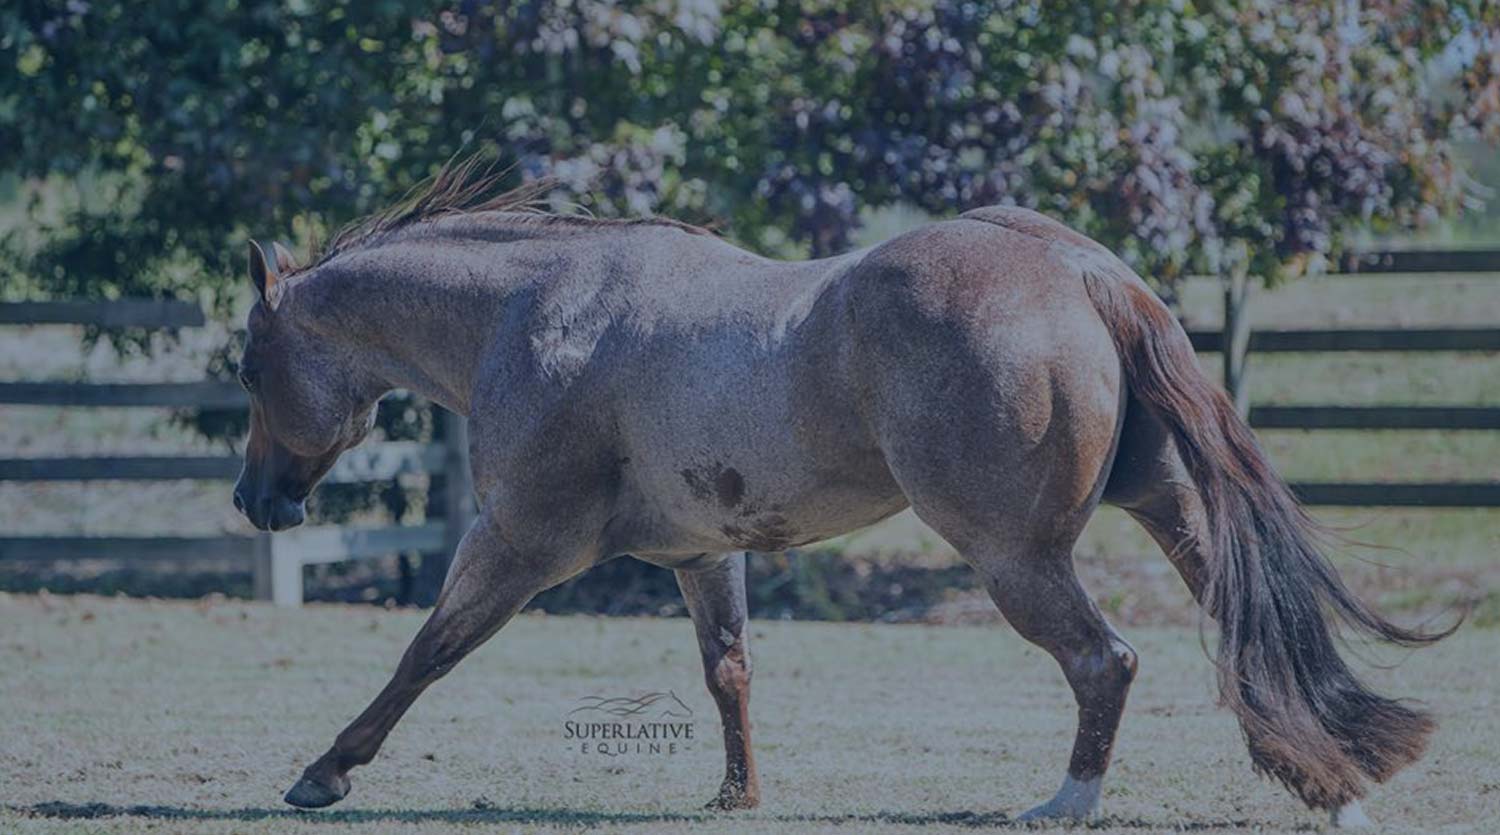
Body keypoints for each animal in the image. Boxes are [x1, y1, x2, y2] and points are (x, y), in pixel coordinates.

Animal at [232, 159, 1447, 827]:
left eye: (246, 366)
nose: (254, 502)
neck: (538, 310)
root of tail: (1082, 268)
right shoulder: (703, 555)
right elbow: (727, 670)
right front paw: (737, 796)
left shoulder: (517, 547)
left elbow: (423, 652)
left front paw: (325, 771)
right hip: (1168, 512)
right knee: (1245, 627)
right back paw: (1335, 784)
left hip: (1016, 558)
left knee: (1106, 660)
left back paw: (1067, 802)